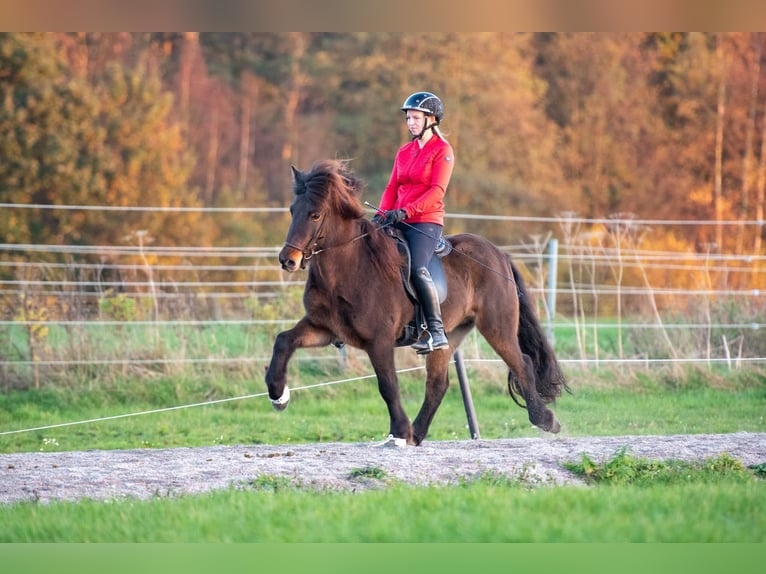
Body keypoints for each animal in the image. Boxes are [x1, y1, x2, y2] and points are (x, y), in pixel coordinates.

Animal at [268, 160, 572, 448]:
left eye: (315, 214)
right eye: (292, 210)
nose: (287, 260)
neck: (350, 267)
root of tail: (500, 255)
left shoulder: (378, 341)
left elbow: (388, 385)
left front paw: (399, 432)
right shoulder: (324, 328)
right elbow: (283, 340)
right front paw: (278, 395)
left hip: (497, 327)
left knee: (522, 363)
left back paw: (545, 419)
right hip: (450, 334)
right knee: (438, 384)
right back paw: (418, 432)